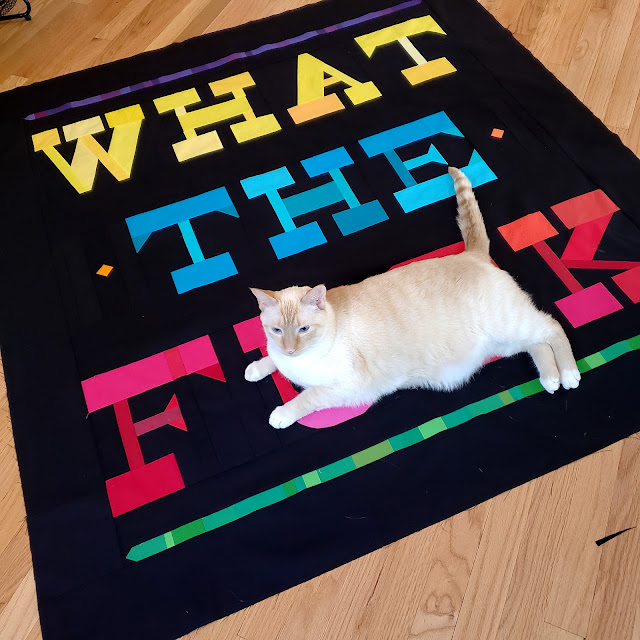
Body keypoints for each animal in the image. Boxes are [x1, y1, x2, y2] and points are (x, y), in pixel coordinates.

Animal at [246, 167, 580, 429]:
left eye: (304, 330)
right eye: (277, 331)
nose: (291, 350)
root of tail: (471, 254)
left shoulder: (342, 387)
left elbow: (306, 398)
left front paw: (281, 414)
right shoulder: (279, 352)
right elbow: (270, 360)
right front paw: (257, 368)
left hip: (511, 325)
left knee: (551, 326)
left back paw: (568, 374)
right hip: (507, 340)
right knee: (537, 344)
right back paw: (550, 379)